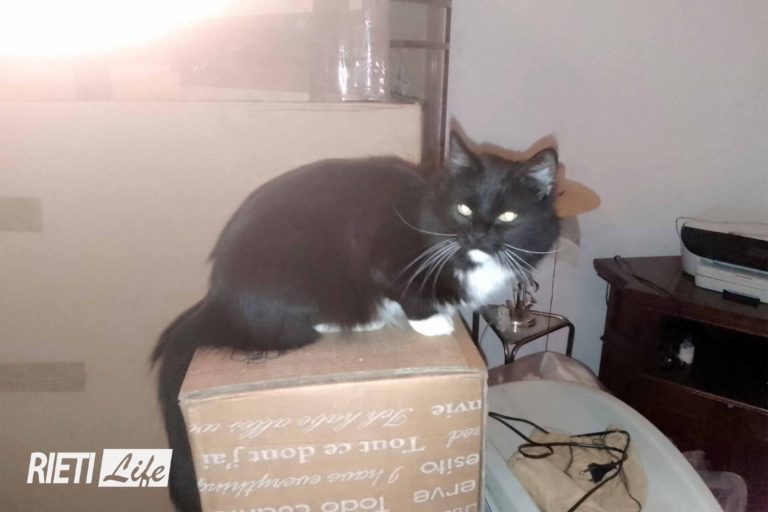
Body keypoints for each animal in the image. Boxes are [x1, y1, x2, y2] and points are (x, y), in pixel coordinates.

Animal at [151, 131, 561, 511]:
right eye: (463, 208)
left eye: (508, 217)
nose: (476, 235)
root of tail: (216, 303)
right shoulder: (382, 257)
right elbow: (403, 291)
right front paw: (431, 321)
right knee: (303, 329)